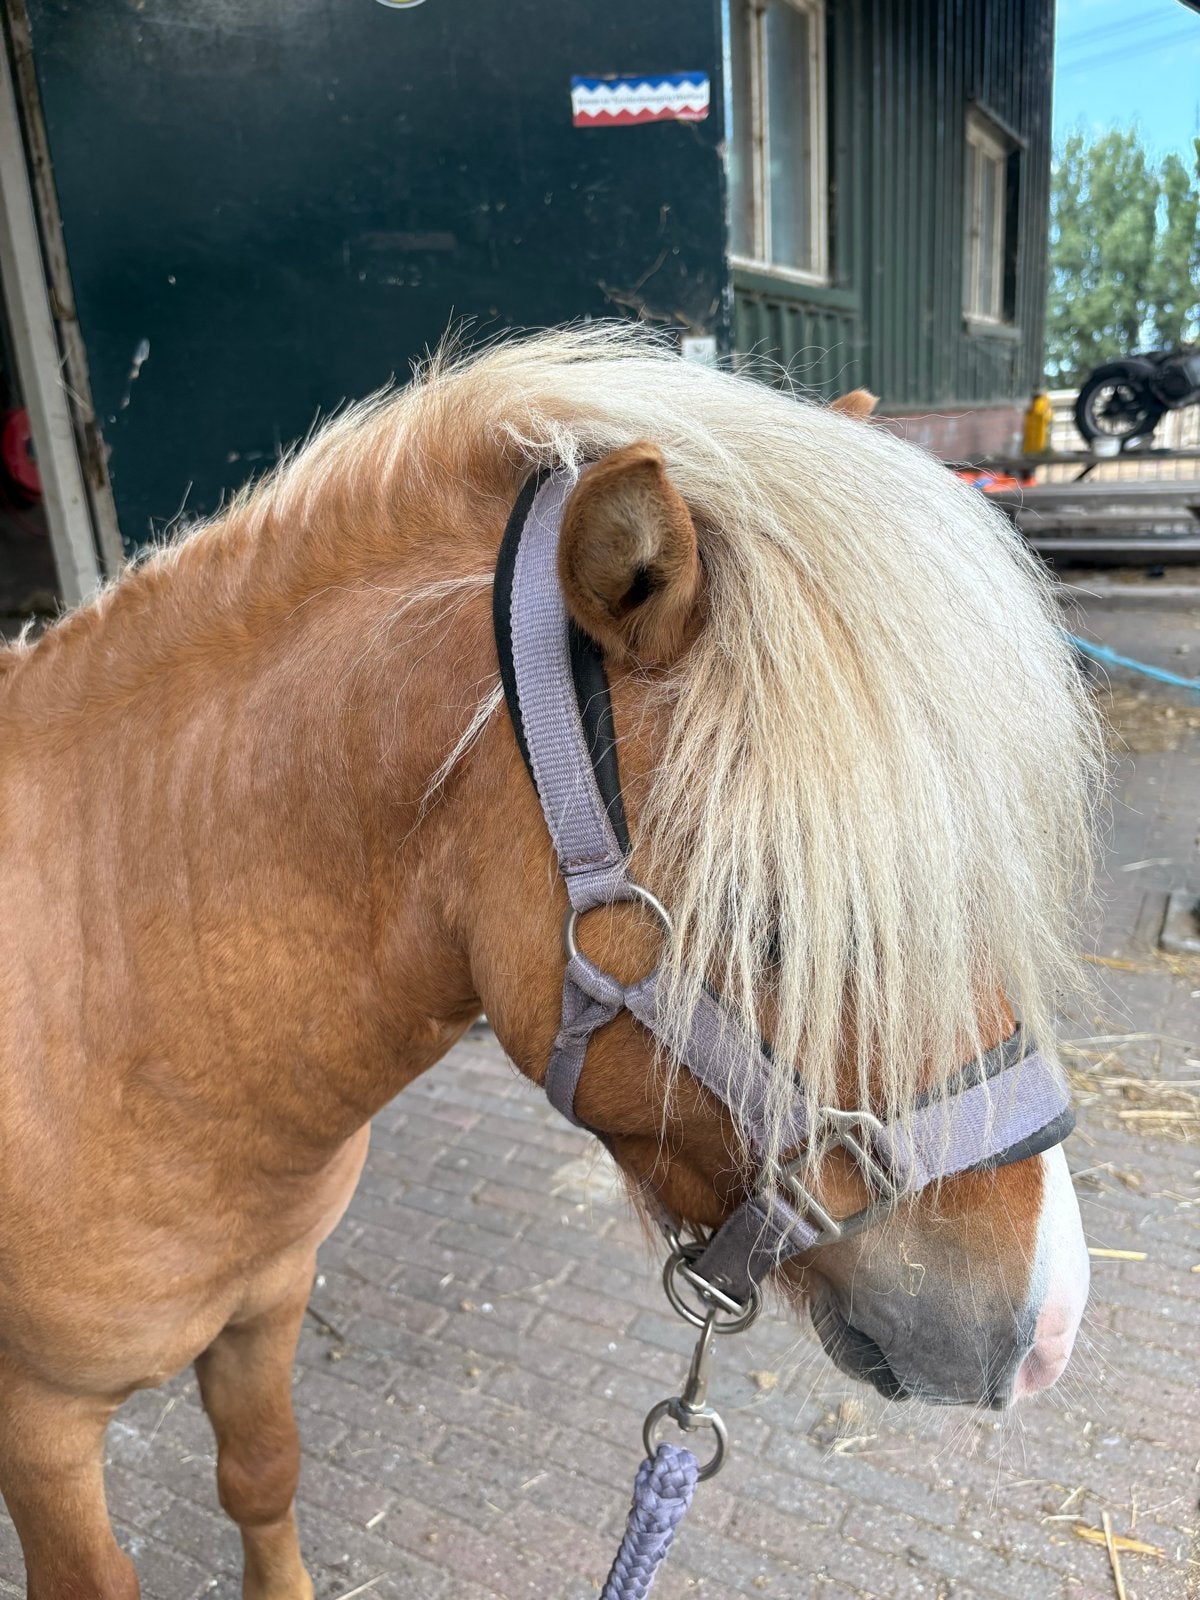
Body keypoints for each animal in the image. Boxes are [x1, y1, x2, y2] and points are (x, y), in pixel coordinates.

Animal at [0, 327, 1099, 1599]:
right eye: (772, 915)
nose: (1050, 1325)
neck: (122, 994)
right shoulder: (40, 1425)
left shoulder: (264, 1306)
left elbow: (263, 1478)